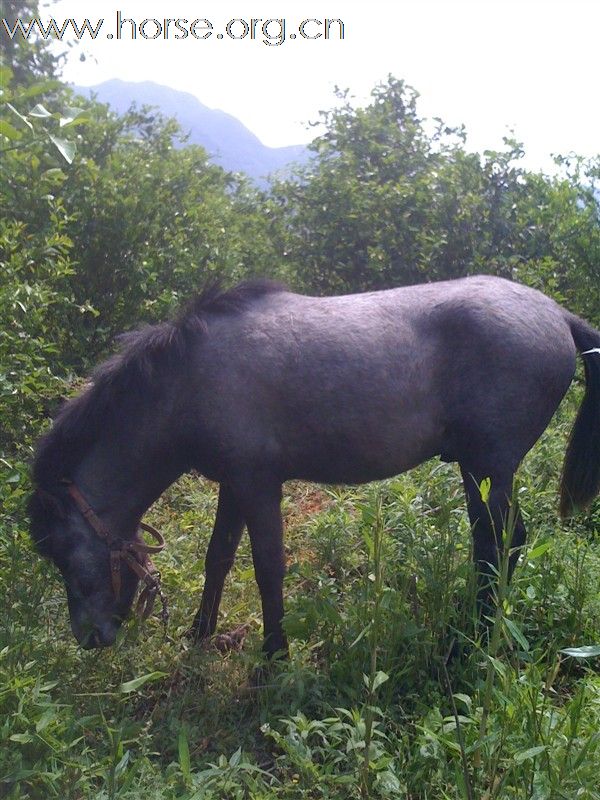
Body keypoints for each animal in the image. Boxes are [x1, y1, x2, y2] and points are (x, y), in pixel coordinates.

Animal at [29, 278, 600, 652]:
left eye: (60, 551)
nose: (91, 638)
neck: (186, 385)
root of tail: (557, 315)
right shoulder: (234, 484)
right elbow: (219, 557)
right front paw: (199, 633)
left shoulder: (259, 485)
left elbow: (268, 567)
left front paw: (275, 651)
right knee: (496, 544)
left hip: (489, 469)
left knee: (501, 541)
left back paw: (475, 636)